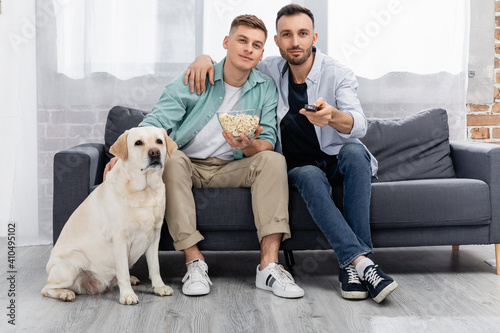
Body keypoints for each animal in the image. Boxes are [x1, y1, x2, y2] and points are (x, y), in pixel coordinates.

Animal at [42, 126, 178, 304]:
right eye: (138, 143)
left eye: (159, 141)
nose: (155, 152)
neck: (145, 191)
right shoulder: (120, 239)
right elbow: (123, 271)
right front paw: (127, 295)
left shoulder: (154, 236)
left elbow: (155, 266)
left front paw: (159, 287)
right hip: (72, 263)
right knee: (47, 288)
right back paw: (65, 293)